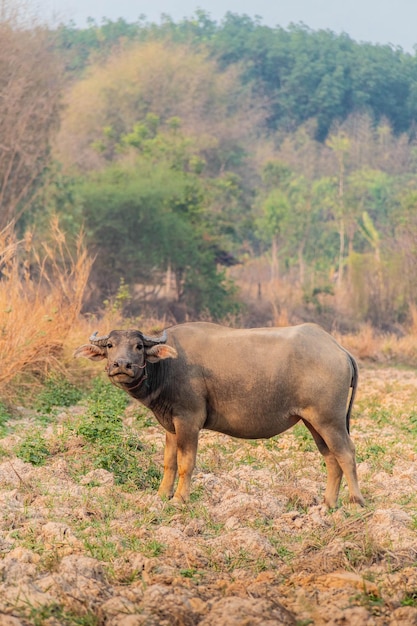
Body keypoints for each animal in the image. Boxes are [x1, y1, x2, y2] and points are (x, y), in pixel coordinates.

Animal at [75, 322, 364, 508]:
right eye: (110, 344)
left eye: (137, 346)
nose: (121, 365)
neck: (167, 366)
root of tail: (339, 350)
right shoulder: (170, 425)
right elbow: (169, 463)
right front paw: (161, 496)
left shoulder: (189, 420)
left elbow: (186, 463)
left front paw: (179, 499)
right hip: (314, 422)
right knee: (331, 459)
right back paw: (327, 504)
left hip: (330, 420)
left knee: (346, 454)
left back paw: (355, 502)